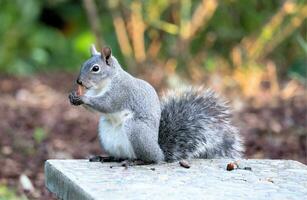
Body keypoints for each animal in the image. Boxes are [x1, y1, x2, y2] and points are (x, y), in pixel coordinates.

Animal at [68, 45, 244, 164]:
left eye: (95, 68)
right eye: (83, 64)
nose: (79, 81)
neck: (103, 85)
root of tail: (160, 152)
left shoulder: (121, 92)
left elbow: (107, 105)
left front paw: (83, 99)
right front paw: (73, 97)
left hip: (136, 129)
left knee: (150, 159)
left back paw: (137, 161)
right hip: (107, 132)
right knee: (121, 155)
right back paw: (108, 158)